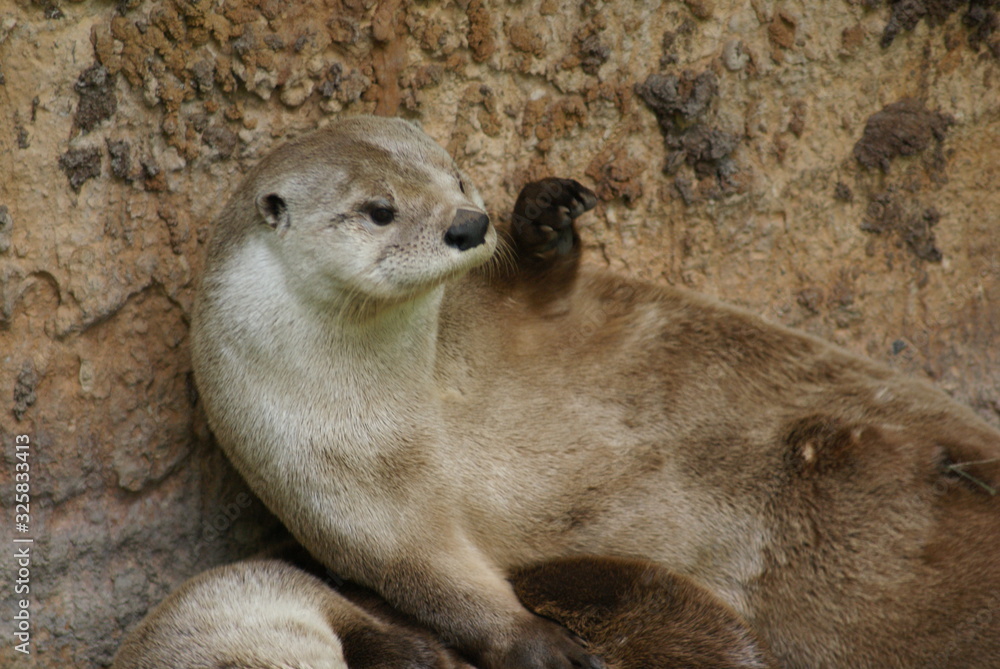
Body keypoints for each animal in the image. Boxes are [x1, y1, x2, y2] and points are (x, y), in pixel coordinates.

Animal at [191, 115, 1000, 668]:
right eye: (378, 209)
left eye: (458, 178)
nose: (468, 223)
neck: (413, 401)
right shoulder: (331, 484)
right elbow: (434, 578)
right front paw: (544, 644)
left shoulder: (503, 316)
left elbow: (540, 285)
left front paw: (544, 212)